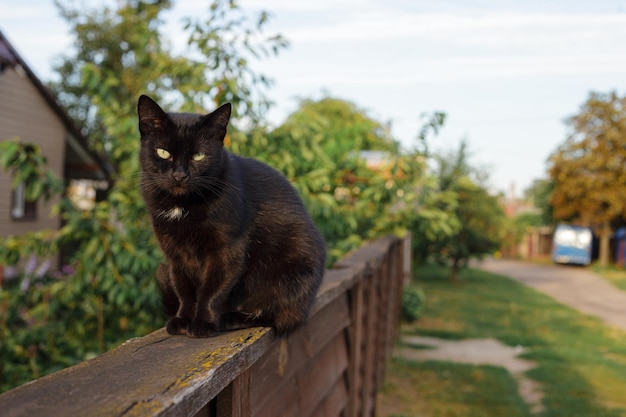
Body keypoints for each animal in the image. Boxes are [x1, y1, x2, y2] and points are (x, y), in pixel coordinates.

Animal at [138, 96, 326, 336]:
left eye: (198, 155)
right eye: (163, 152)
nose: (179, 175)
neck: (183, 206)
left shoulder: (227, 250)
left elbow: (212, 290)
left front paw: (204, 323)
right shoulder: (175, 254)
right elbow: (183, 289)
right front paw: (183, 319)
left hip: (295, 272)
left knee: (276, 315)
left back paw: (231, 318)